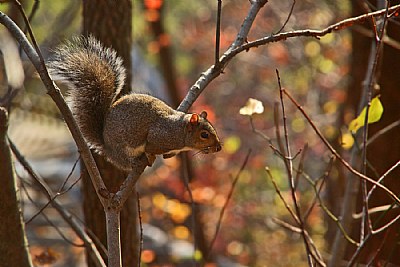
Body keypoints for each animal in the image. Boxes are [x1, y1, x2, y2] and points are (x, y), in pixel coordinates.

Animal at [48, 36, 222, 172]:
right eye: (204, 135)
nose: (219, 148)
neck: (180, 131)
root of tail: (108, 149)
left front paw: (168, 156)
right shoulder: (160, 136)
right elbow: (151, 146)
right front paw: (151, 156)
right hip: (124, 150)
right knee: (126, 161)